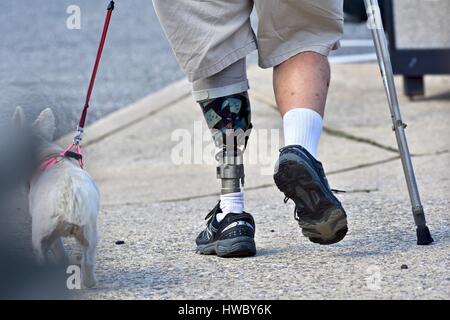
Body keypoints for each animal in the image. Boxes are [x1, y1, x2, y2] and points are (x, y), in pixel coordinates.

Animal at [13, 106, 100, 288]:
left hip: (42, 233)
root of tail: (69, 194)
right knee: (88, 259)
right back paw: (89, 282)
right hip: (89, 230)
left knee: (45, 254)